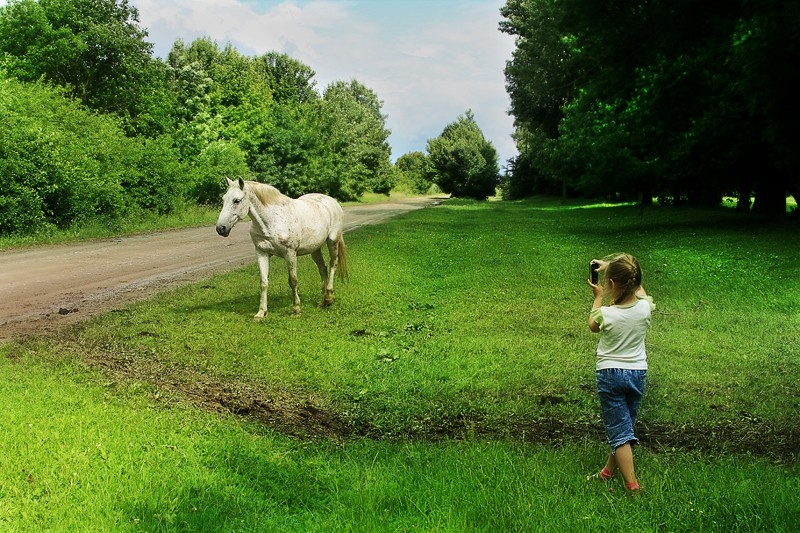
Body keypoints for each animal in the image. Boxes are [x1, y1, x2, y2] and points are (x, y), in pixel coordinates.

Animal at [216, 177, 346, 318]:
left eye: (237, 200)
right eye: (223, 199)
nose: (221, 228)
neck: (272, 221)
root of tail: (332, 201)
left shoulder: (290, 254)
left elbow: (293, 281)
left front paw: (296, 310)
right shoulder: (261, 253)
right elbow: (263, 282)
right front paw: (261, 312)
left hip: (332, 241)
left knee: (333, 264)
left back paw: (329, 298)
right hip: (315, 249)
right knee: (323, 269)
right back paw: (322, 303)